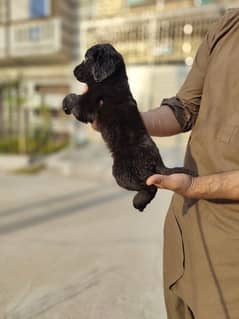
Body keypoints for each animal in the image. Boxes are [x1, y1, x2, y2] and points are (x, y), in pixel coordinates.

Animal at [63, 43, 192, 212]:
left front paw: (65, 106)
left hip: (121, 172)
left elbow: (72, 97)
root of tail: (158, 162)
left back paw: (138, 202)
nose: (73, 71)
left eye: (87, 59)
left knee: (149, 187)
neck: (111, 79)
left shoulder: (87, 105)